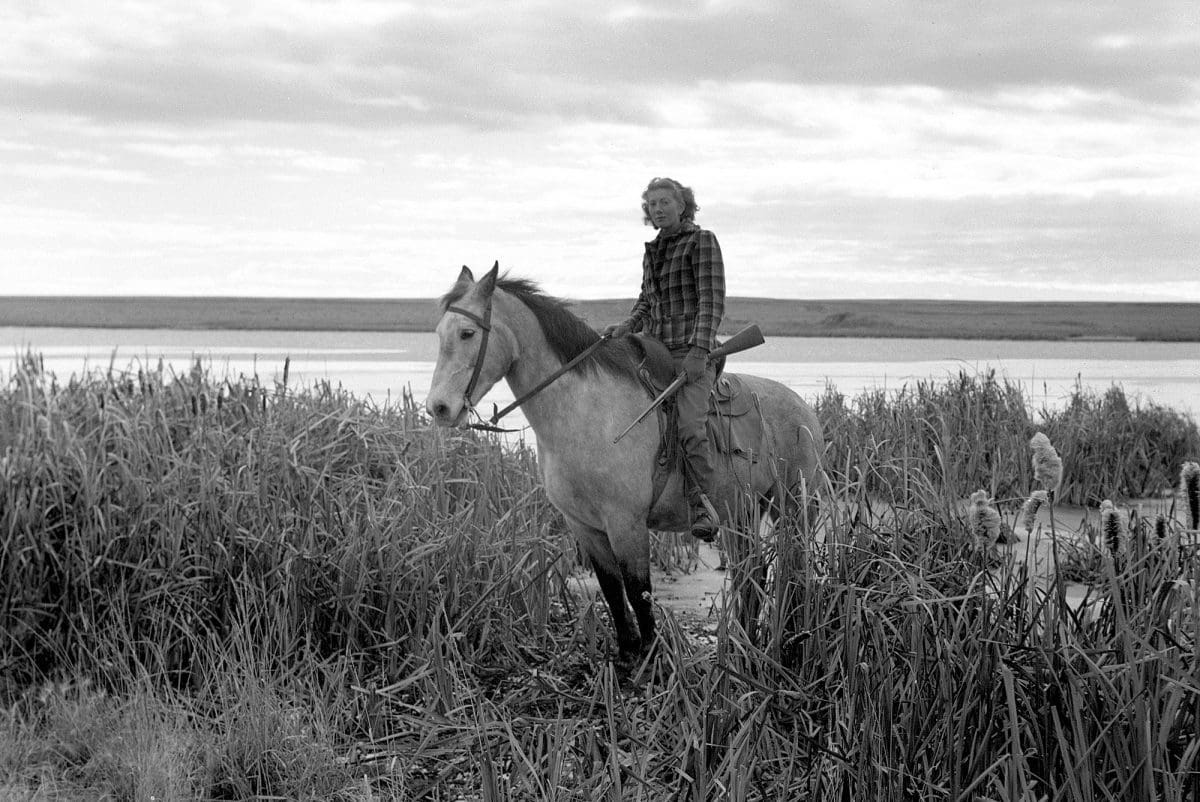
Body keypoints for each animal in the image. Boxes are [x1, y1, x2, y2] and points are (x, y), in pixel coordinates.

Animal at [424, 266, 825, 667]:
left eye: (467, 332)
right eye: (439, 334)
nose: (438, 408)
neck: (585, 412)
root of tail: (805, 411)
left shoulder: (625, 523)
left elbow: (638, 591)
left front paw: (650, 660)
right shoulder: (583, 525)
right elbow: (612, 590)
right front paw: (627, 654)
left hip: (793, 509)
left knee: (792, 570)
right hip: (741, 512)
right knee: (752, 573)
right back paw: (744, 642)